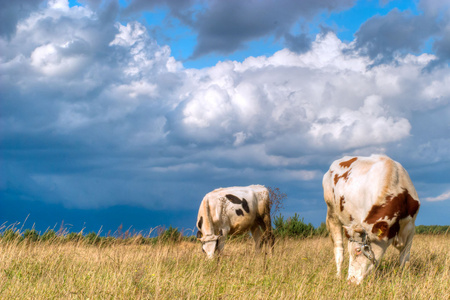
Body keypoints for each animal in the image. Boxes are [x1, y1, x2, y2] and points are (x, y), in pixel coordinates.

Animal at [322, 155, 420, 284]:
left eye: (358, 250)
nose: (350, 281)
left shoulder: (410, 226)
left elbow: (405, 258)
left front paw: (404, 278)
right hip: (332, 215)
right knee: (339, 250)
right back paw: (338, 276)